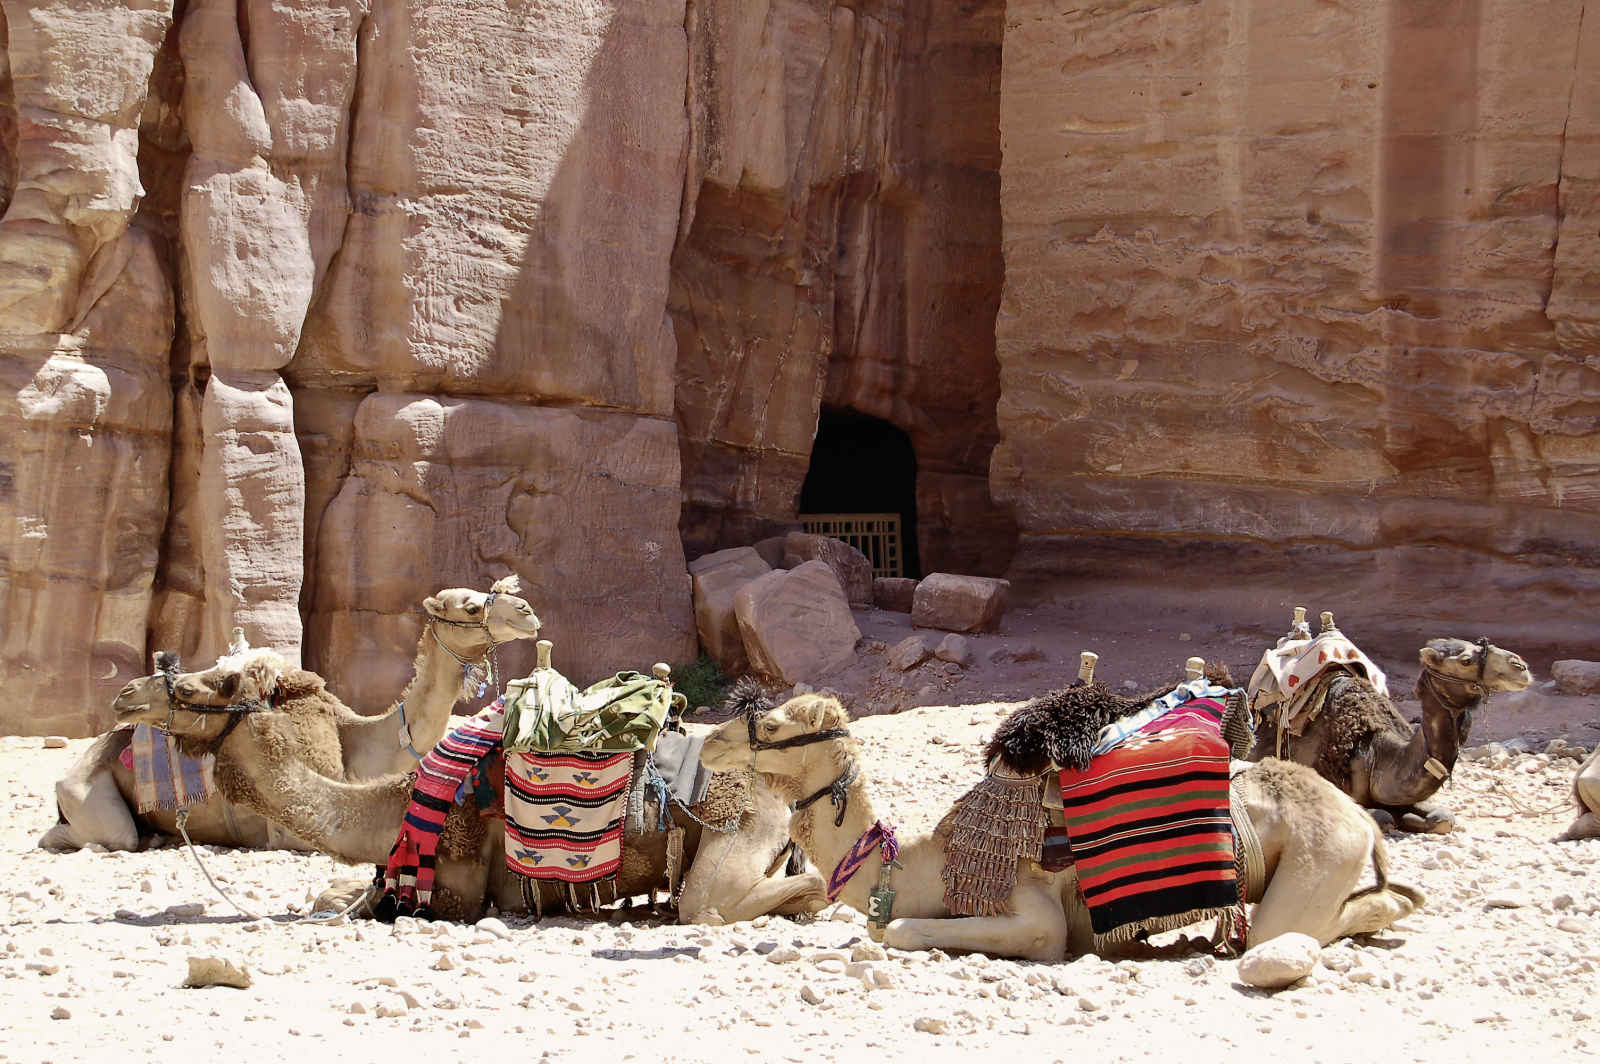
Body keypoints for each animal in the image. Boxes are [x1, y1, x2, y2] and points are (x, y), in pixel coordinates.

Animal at [38, 577, 543, 852]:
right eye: (471, 606)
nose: (527, 611)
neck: (364, 742)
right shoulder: (288, 828)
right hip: (89, 796)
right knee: (96, 836)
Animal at [108, 649, 827, 925]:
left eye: (218, 683)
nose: (128, 693)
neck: (394, 807)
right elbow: (346, 891)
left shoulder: (458, 888)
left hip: (735, 832)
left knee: (719, 902)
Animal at [699, 692, 1424, 963]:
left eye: (772, 725)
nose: (709, 742)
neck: (929, 861)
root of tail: (1361, 821)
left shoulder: (1035, 912)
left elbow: (896, 928)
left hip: (1315, 859)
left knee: (1292, 928)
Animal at [1248, 620, 1532, 833]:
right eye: (1465, 661)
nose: (1521, 666)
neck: (1378, 752)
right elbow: (1382, 817)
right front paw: (1398, 819)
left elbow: (1443, 819)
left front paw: (1411, 818)